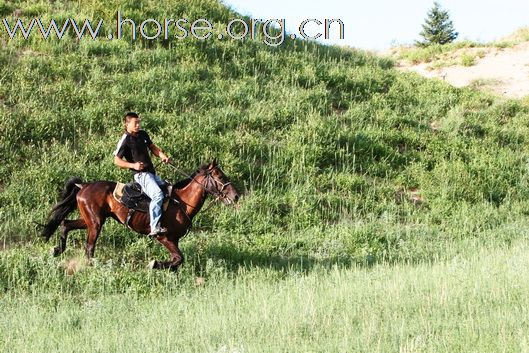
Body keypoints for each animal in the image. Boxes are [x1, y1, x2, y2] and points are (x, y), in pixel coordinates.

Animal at [40, 160, 238, 270]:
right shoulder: (164, 237)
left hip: (91, 219)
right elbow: (178, 258)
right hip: (95, 223)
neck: (181, 202)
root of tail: (84, 186)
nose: (235, 196)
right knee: (89, 247)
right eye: (220, 177)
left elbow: (177, 261)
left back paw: (57, 250)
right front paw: (154, 264)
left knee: (66, 223)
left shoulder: (174, 240)